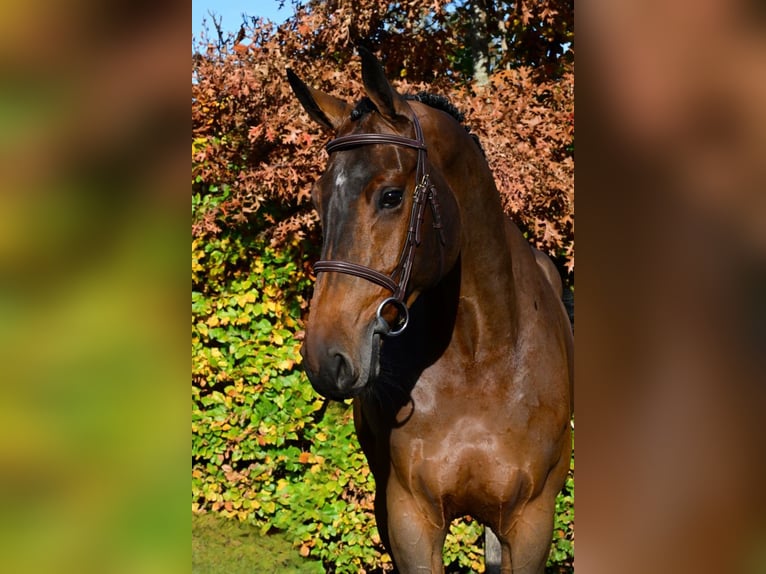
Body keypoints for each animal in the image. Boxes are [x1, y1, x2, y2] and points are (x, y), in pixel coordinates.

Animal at [287, 48, 573, 574]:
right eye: (318, 200)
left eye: (391, 195)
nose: (325, 359)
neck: (481, 357)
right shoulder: (409, 521)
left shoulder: (531, 524)